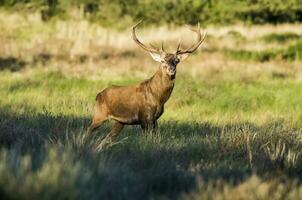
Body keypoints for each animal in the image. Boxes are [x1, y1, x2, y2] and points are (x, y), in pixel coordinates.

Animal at [86, 22, 205, 150]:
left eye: (176, 61)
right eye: (162, 61)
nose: (171, 70)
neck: (158, 97)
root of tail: (98, 95)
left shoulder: (155, 119)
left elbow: (157, 139)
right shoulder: (144, 117)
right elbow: (147, 140)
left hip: (119, 122)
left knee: (106, 140)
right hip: (99, 114)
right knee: (88, 130)